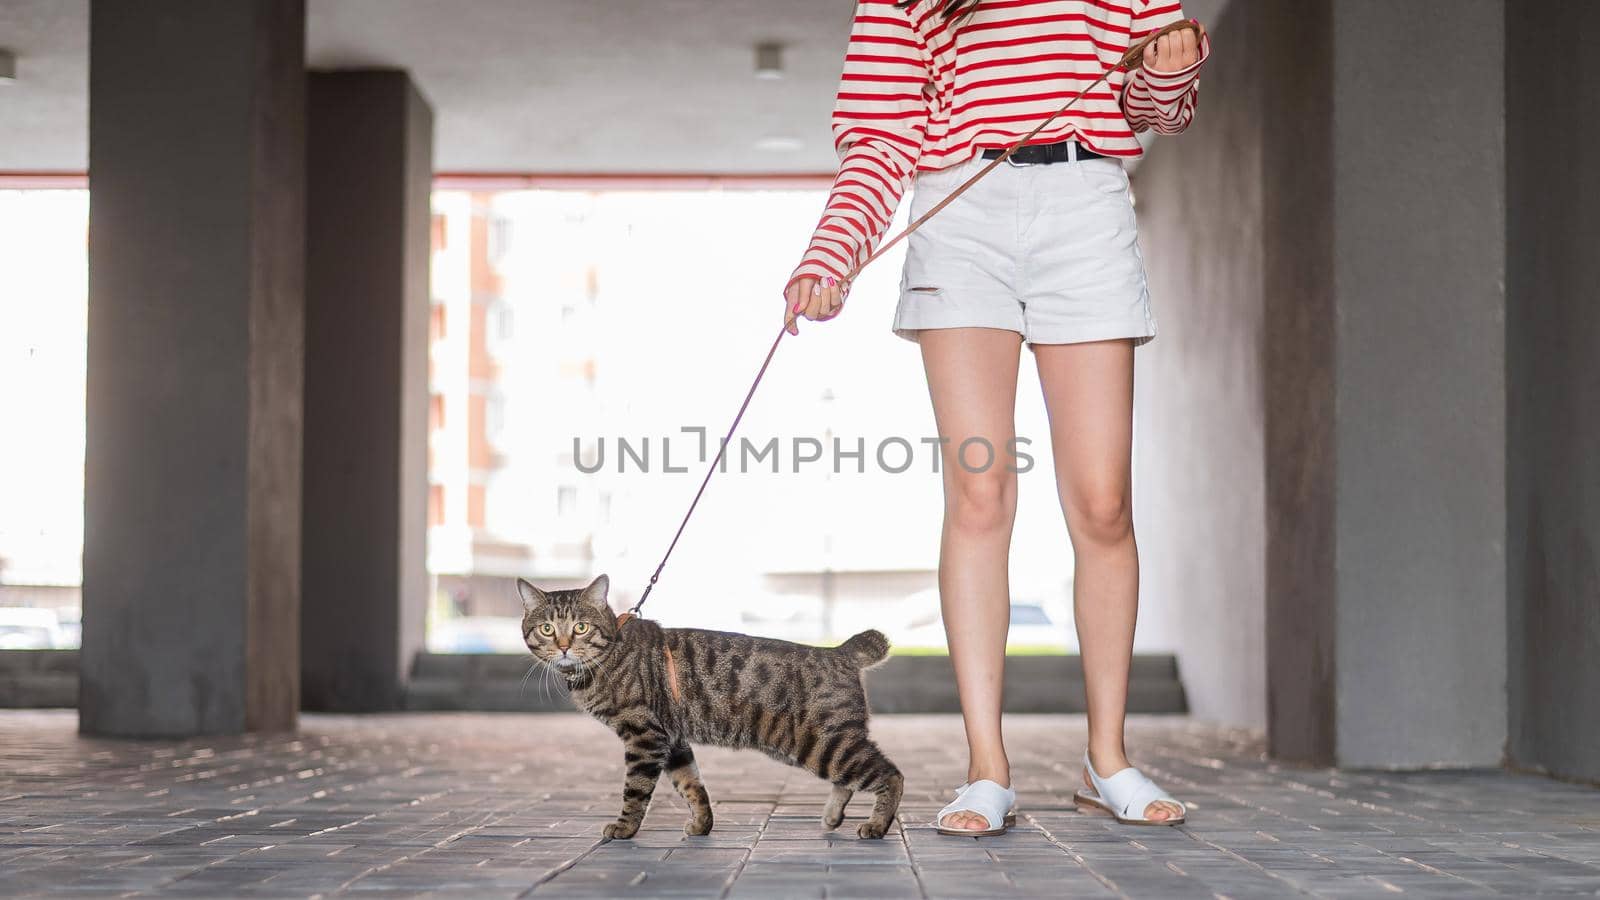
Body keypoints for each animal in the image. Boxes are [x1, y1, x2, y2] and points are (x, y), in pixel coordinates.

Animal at [521, 570, 902, 839]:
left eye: (581, 627)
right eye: (546, 629)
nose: (564, 646)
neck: (606, 657)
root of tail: (839, 652)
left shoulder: (645, 737)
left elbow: (635, 791)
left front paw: (625, 828)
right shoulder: (673, 740)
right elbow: (692, 785)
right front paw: (703, 823)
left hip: (821, 743)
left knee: (890, 773)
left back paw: (877, 825)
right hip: (818, 747)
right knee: (851, 778)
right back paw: (834, 815)